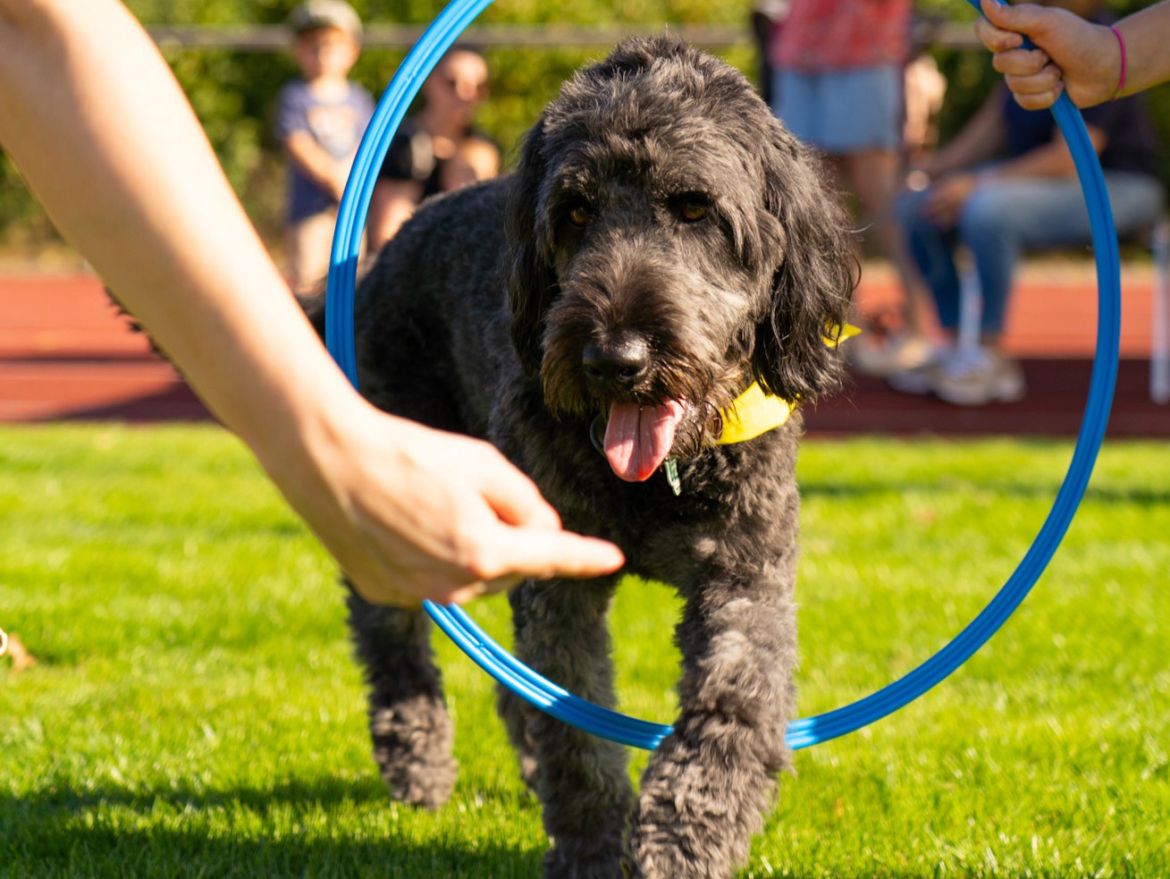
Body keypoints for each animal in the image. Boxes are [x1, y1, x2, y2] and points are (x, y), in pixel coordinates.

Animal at [320, 32, 851, 879]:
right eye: (575, 211)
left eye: (694, 206)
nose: (614, 358)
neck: (659, 479)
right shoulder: (561, 585)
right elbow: (575, 728)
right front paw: (595, 850)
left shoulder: (746, 573)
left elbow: (732, 705)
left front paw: (686, 841)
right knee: (389, 630)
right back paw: (416, 756)